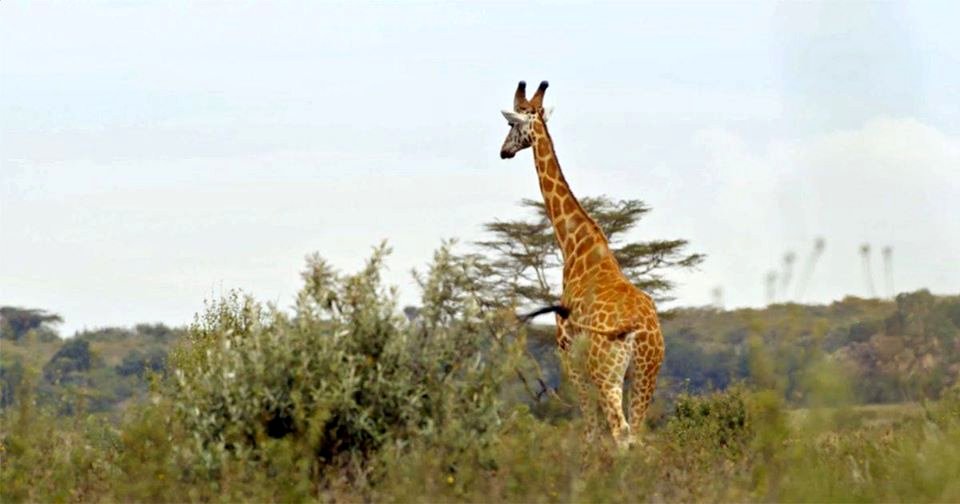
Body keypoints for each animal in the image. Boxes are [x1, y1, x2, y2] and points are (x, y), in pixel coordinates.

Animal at [499, 81, 665, 449]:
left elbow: (589, 430)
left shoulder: (567, 349)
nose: (504, 151)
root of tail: (639, 330)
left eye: (512, 124)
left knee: (621, 432)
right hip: (646, 372)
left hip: (607, 372)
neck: (577, 247)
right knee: (638, 435)